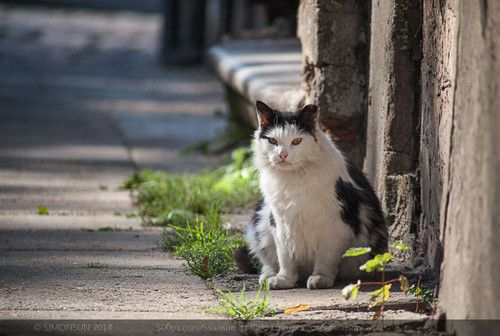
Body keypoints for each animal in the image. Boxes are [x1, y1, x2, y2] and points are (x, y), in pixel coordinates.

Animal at [244, 100, 388, 288]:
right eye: (273, 141)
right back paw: (268, 276)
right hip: (261, 221)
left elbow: (326, 257)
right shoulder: (281, 222)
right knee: (268, 261)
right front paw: (284, 279)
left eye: (297, 141)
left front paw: (321, 279)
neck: (294, 179)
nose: (283, 154)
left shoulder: (336, 226)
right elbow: (285, 256)